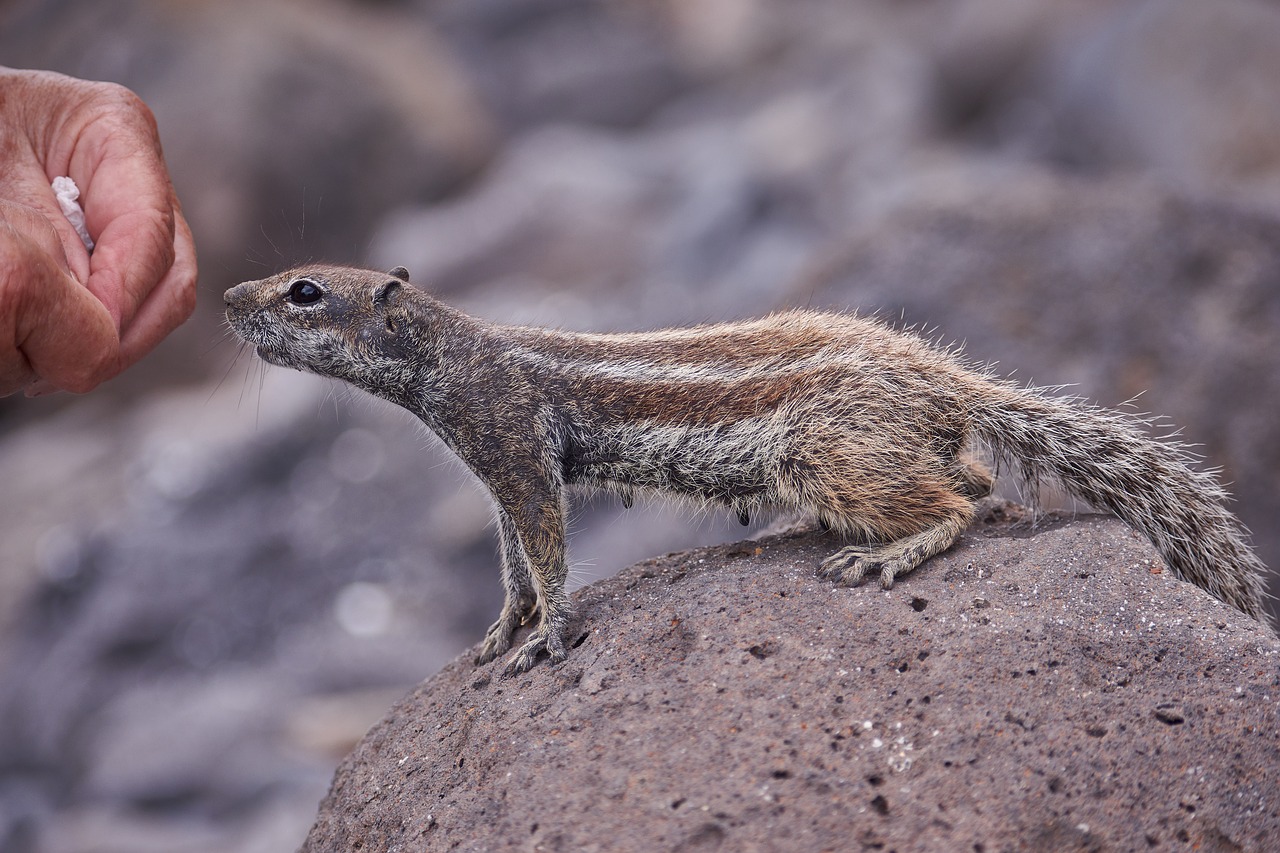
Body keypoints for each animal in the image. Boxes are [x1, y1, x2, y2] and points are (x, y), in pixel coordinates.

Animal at [222, 266, 1269, 671]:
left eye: (304, 290)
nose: (229, 299)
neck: (454, 356)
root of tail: (946, 379)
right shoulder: (495, 476)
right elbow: (515, 564)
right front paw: (499, 629)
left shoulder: (515, 450)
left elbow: (549, 557)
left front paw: (546, 638)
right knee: (975, 480)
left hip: (824, 446)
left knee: (962, 501)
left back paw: (887, 552)